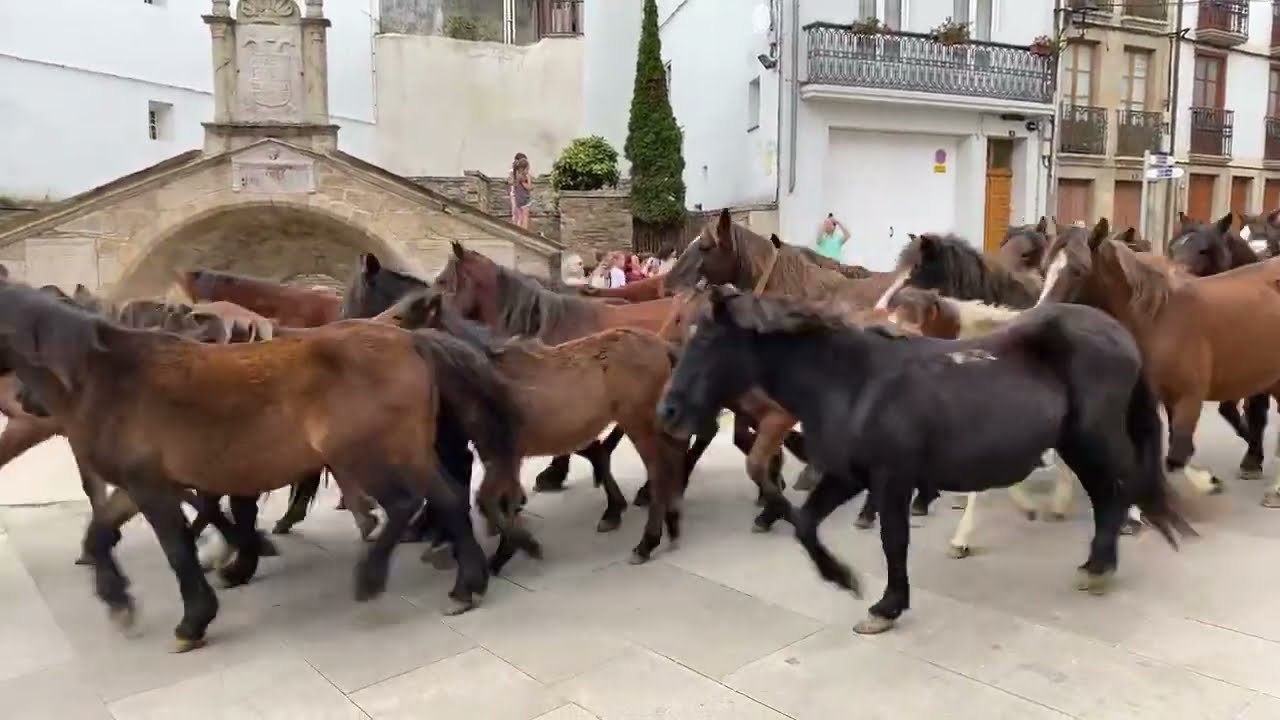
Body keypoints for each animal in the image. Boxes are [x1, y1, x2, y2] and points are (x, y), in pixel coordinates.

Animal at [0, 280, 532, 651]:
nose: (26, 403)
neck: (109, 377)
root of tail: (411, 342)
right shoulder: (141, 484)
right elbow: (100, 533)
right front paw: (119, 603)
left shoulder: (150, 486)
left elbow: (177, 550)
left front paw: (193, 621)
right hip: (409, 450)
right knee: (446, 499)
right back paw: (466, 587)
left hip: (363, 453)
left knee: (404, 504)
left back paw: (370, 581)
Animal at [379, 290, 688, 566]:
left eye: (398, 316)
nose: (368, 331)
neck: (484, 380)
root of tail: (663, 347)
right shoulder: (503, 457)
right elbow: (504, 500)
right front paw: (505, 552)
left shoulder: (503, 455)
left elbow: (487, 500)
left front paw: (524, 546)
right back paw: (671, 526)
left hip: (640, 423)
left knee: (659, 473)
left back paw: (646, 543)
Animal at [656, 285, 1193, 635]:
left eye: (706, 339)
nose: (669, 412)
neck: (852, 383)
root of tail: (1119, 333)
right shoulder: (849, 475)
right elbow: (806, 525)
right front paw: (843, 579)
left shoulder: (892, 479)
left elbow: (894, 542)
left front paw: (886, 607)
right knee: (1108, 495)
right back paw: (1094, 565)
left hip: (1093, 440)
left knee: (1115, 493)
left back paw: (1101, 567)